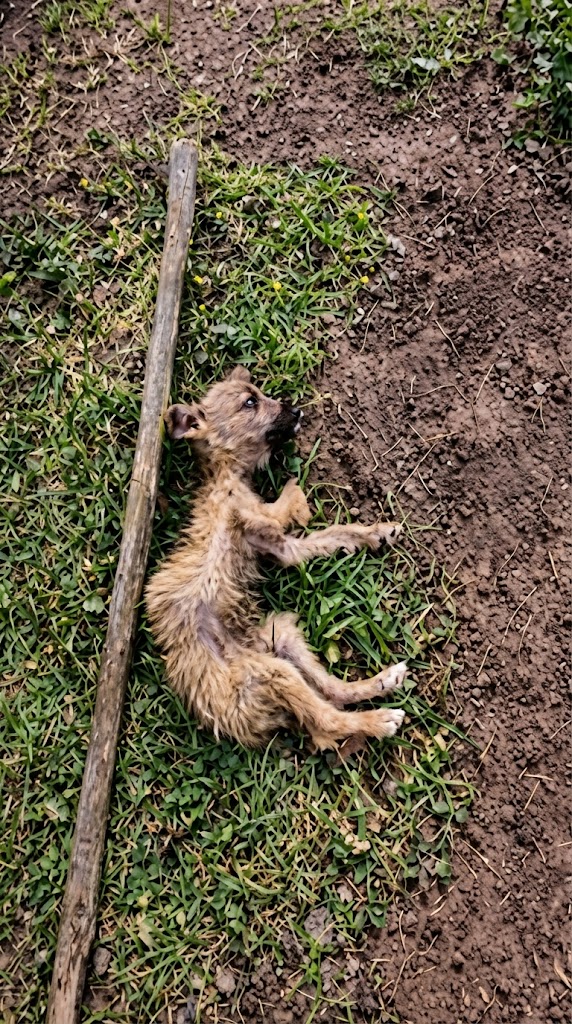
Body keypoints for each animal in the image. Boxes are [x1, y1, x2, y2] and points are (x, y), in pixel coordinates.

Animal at [145, 366, 407, 751]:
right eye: (249, 402)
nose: (296, 410)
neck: (227, 475)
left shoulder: (281, 547)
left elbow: (335, 534)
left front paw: (376, 532)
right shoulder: (261, 519)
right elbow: (291, 503)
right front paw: (296, 490)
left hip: (279, 637)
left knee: (333, 692)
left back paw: (384, 681)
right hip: (270, 671)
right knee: (328, 719)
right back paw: (380, 719)